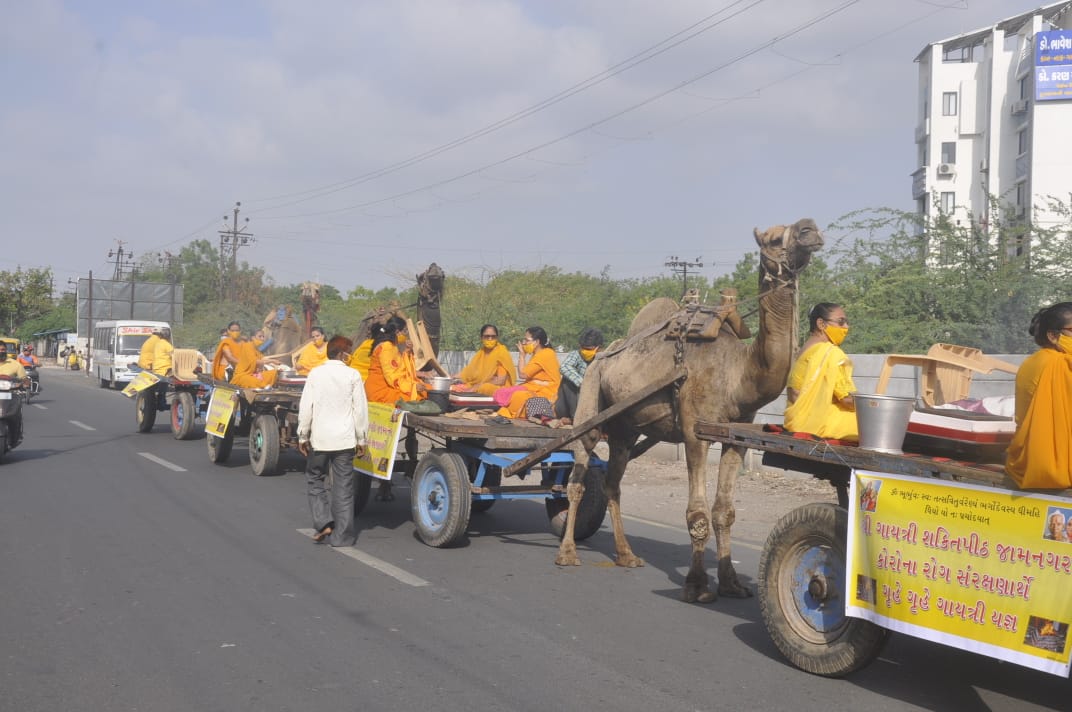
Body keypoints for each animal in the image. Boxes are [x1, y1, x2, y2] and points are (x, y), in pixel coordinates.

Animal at [553, 218, 819, 604]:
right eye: (772, 238)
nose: (809, 229)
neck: (737, 373)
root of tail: (603, 355)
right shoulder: (695, 432)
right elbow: (697, 513)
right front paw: (696, 586)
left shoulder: (736, 435)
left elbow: (724, 512)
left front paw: (731, 583)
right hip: (590, 395)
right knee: (577, 477)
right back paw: (568, 553)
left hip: (624, 428)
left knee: (611, 483)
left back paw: (626, 555)